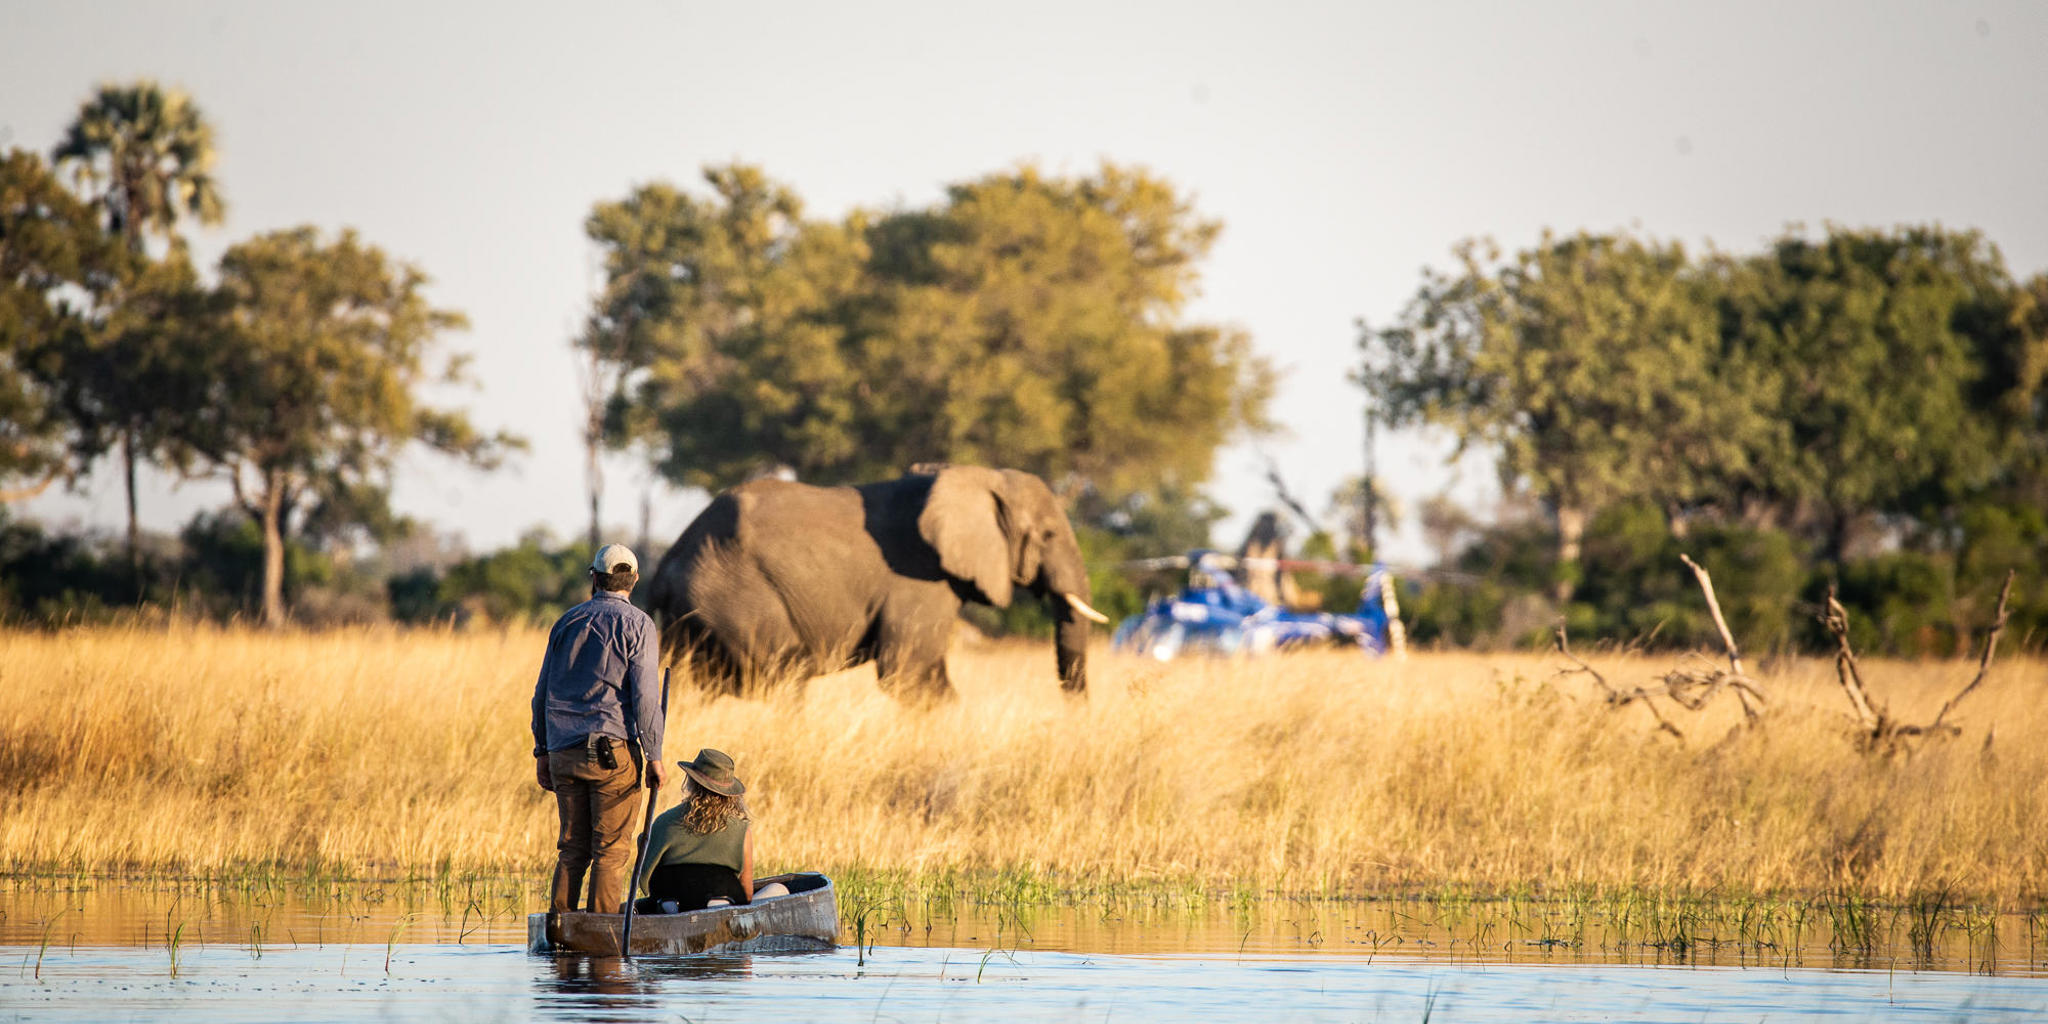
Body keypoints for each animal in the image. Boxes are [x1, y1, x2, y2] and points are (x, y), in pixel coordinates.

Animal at [646, 464, 1109, 699]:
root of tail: (668, 561)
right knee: (782, 675)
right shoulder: (919, 579)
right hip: (735, 597)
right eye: (1048, 535)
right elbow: (909, 672)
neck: (975, 476)